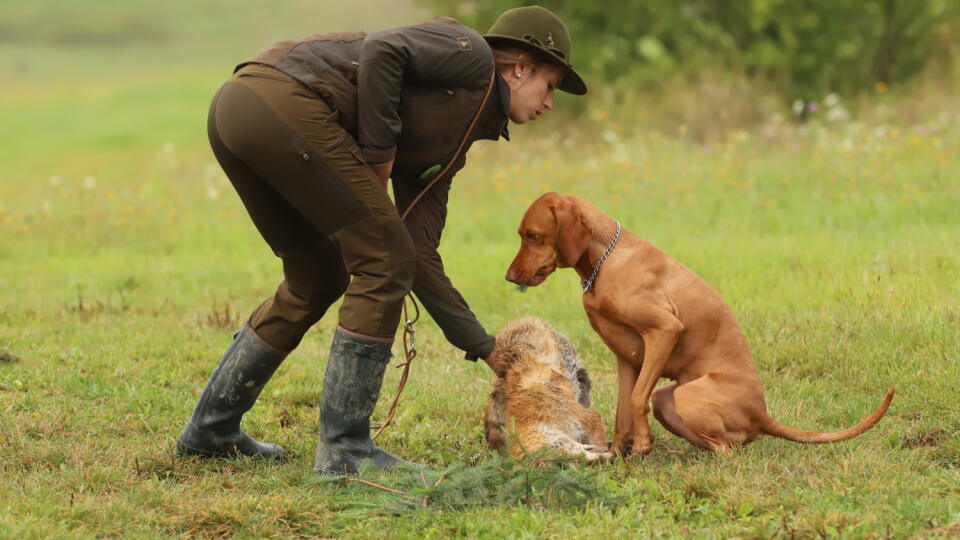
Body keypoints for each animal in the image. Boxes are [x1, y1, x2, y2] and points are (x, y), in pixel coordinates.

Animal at [506, 194, 896, 456]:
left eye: (533, 235)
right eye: (523, 234)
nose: (508, 278)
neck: (606, 259)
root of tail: (762, 414)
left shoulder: (664, 331)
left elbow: (635, 400)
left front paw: (642, 445)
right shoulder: (628, 358)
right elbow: (621, 410)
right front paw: (618, 454)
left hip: (686, 396)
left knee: (727, 452)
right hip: (668, 399)